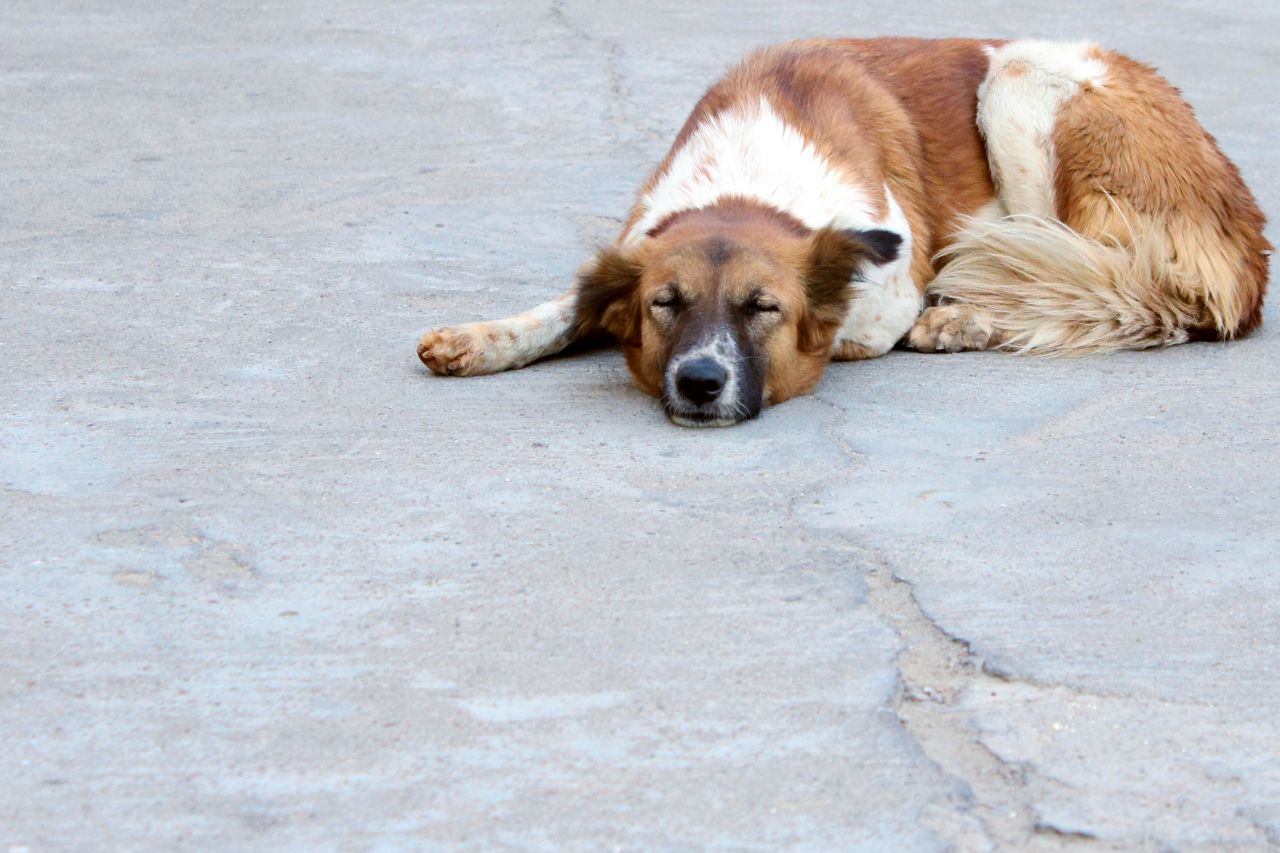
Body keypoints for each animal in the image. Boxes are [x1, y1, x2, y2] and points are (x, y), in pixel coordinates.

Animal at [419, 38, 1269, 425]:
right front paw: (487, 337)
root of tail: (1247, 229)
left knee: (1127, 295)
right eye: (667, 303)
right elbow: (570, 303)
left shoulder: (887, 280)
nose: (700, 382)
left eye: (764, 308)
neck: (748, 182)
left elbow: (854, 324)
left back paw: (966, 318)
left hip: (1021, 84)